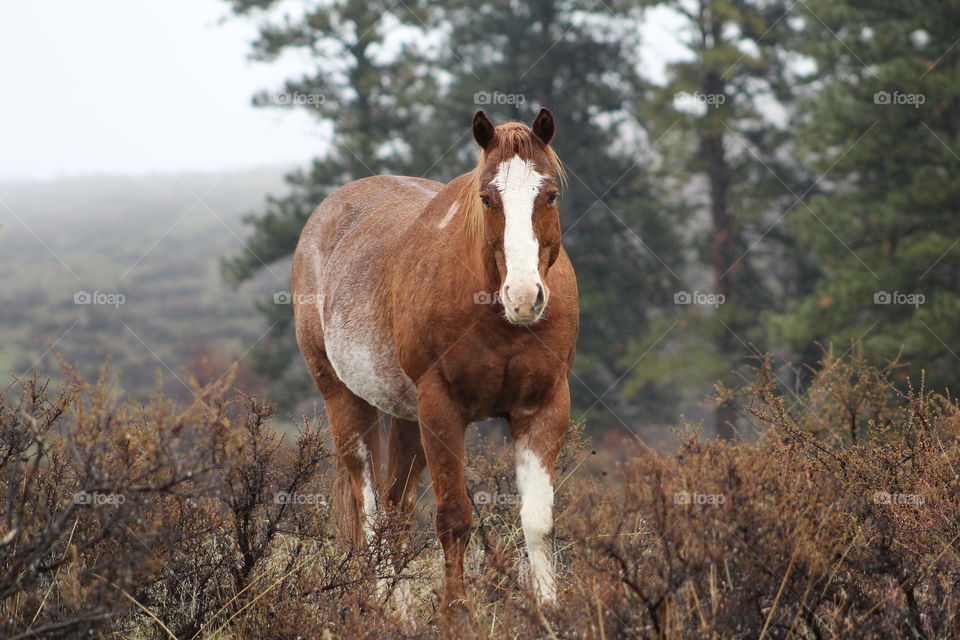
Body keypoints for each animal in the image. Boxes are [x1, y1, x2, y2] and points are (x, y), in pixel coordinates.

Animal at [290, 107, 576, 616]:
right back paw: (388, 606)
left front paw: (549, 612)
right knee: (370, 509)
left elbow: (538, 521)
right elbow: (453, 518)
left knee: (396, 508)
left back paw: (398, 606)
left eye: (549, 195)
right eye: (487, 198)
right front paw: (456, 614)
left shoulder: (544, 408)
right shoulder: (443, 410)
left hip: (409, 418)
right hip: (345, 401)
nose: (524, 297)